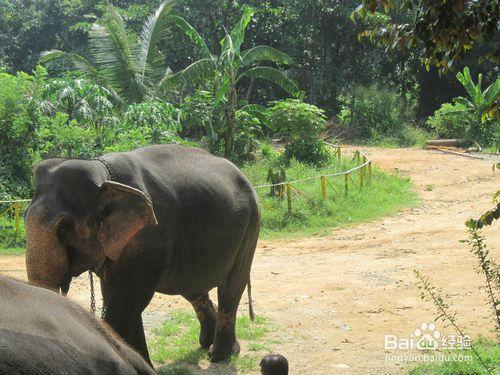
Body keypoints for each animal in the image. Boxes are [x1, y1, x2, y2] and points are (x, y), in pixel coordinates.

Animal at [25, 145, 262, 366]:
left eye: (65, 228)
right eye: (25, 216)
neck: (102, 172)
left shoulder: (149, 236)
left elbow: (124, 304)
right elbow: (119, 299)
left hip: (251, 225)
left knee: (231, 286)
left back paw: (221, 355)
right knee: (192, 288)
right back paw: (208, 345)